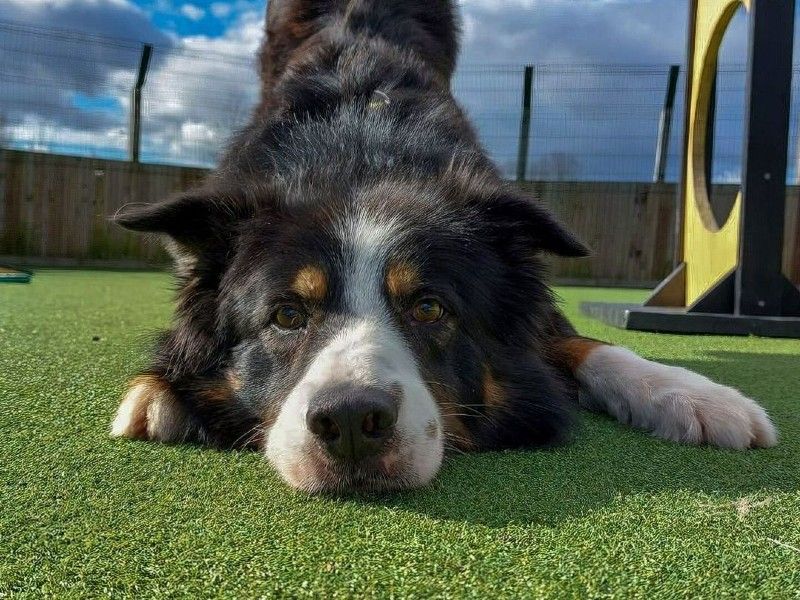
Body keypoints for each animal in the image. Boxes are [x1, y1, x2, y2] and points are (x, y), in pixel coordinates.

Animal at [109, 1, 780, 492]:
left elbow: (587, 344)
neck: (360, 150)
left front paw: (694, 396)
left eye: (430, 308)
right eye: (287, 315)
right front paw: (156, 389)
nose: (350, 421)